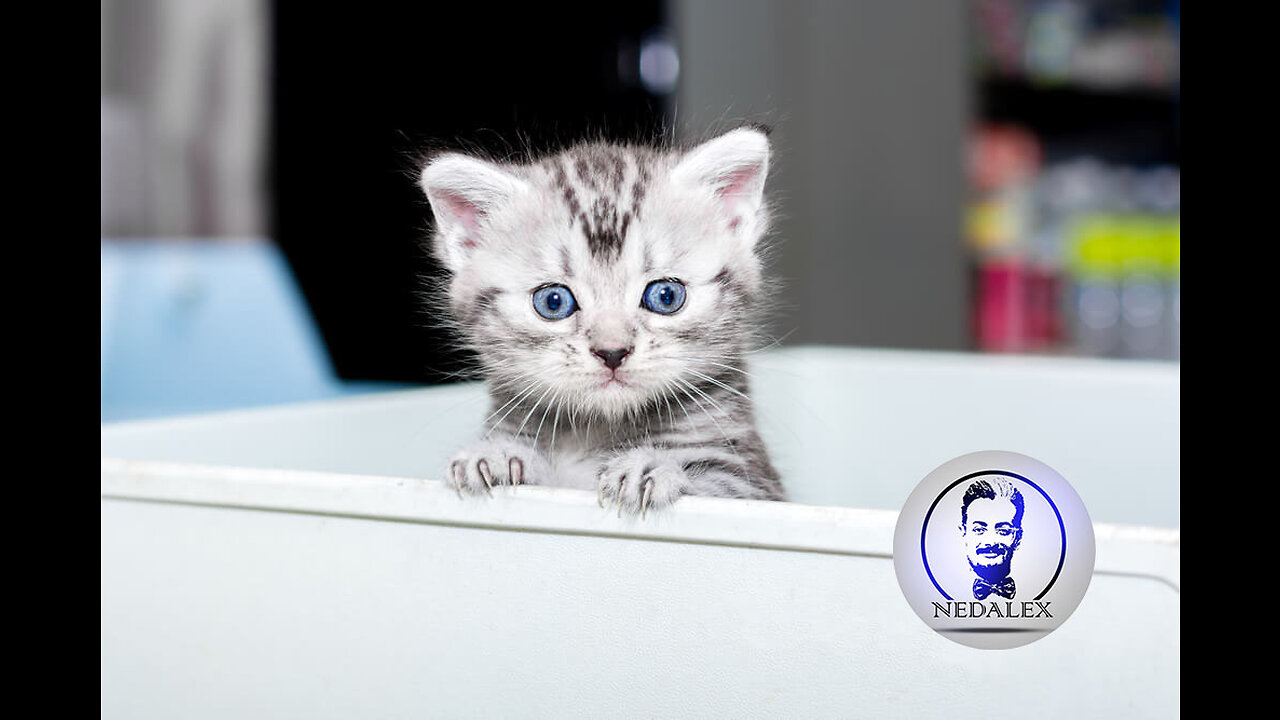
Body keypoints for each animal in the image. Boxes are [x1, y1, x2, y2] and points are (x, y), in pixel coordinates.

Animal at [419, 124, 783, 515]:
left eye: (666, 297)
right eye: (553, 302)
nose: (612, 352)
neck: (594, 430)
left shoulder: (756, 483)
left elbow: (717, 486)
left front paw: (652, 466)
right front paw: (495, 455)